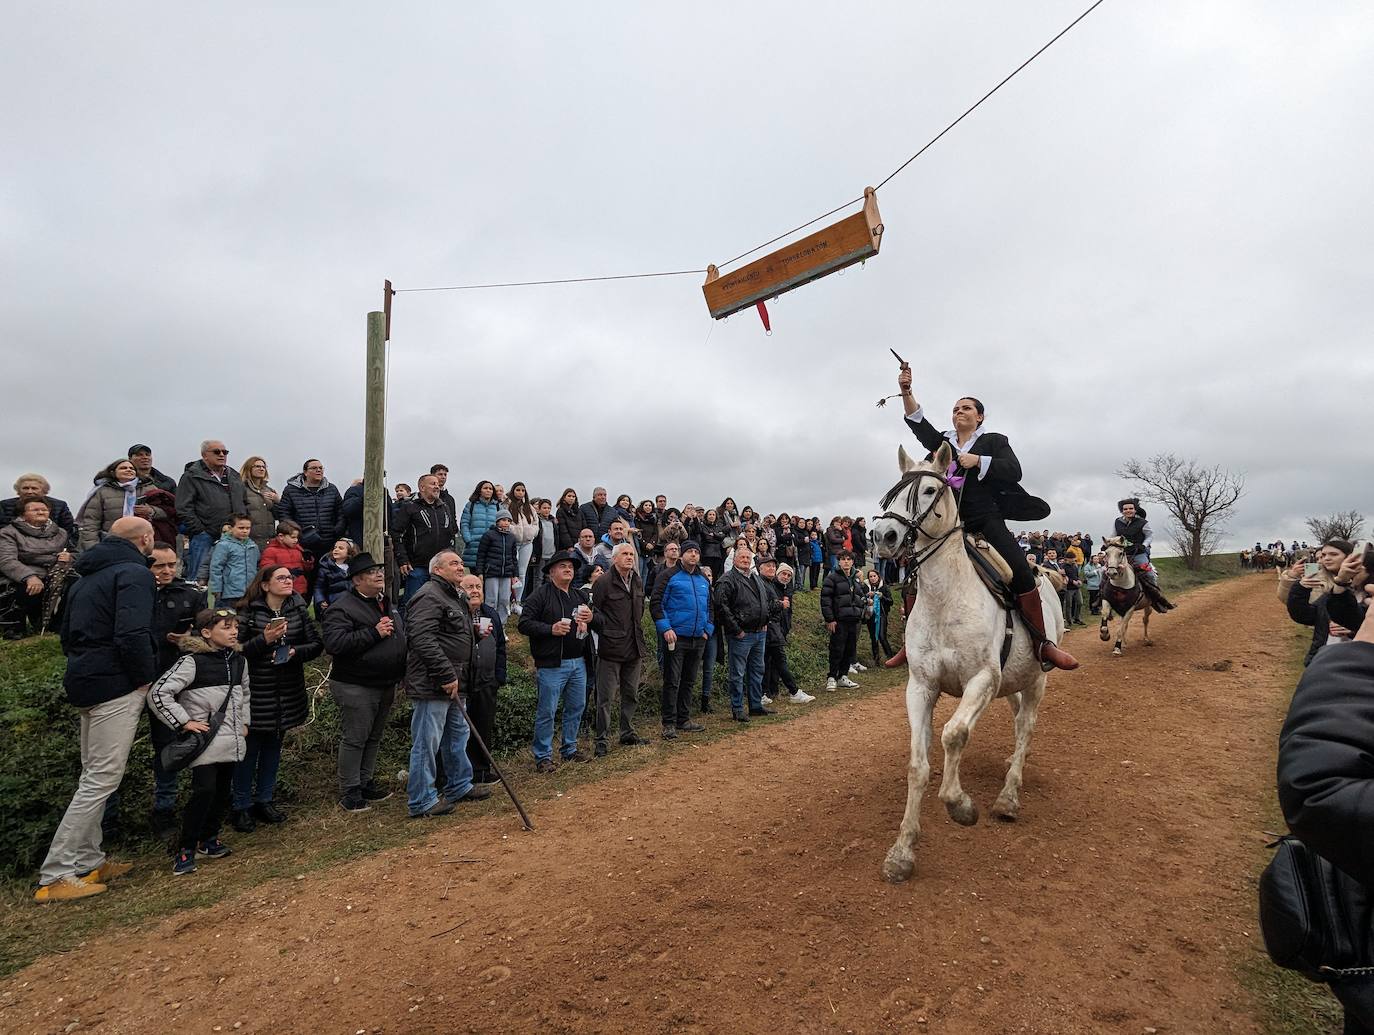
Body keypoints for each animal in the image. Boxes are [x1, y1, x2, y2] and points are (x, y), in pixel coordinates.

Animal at [868, 439, 1060, 885]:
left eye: (927, 491)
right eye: (890, 493)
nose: (883, 536)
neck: (945, 597)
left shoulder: (981, 680)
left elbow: (954, 735)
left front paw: (960, 805)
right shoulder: (921, 687)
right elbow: (917, 766)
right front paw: (902, 852)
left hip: (1035, 681)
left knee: (1027, 726)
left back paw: (1008, 797)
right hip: (1013, 683)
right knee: (1018, 722)